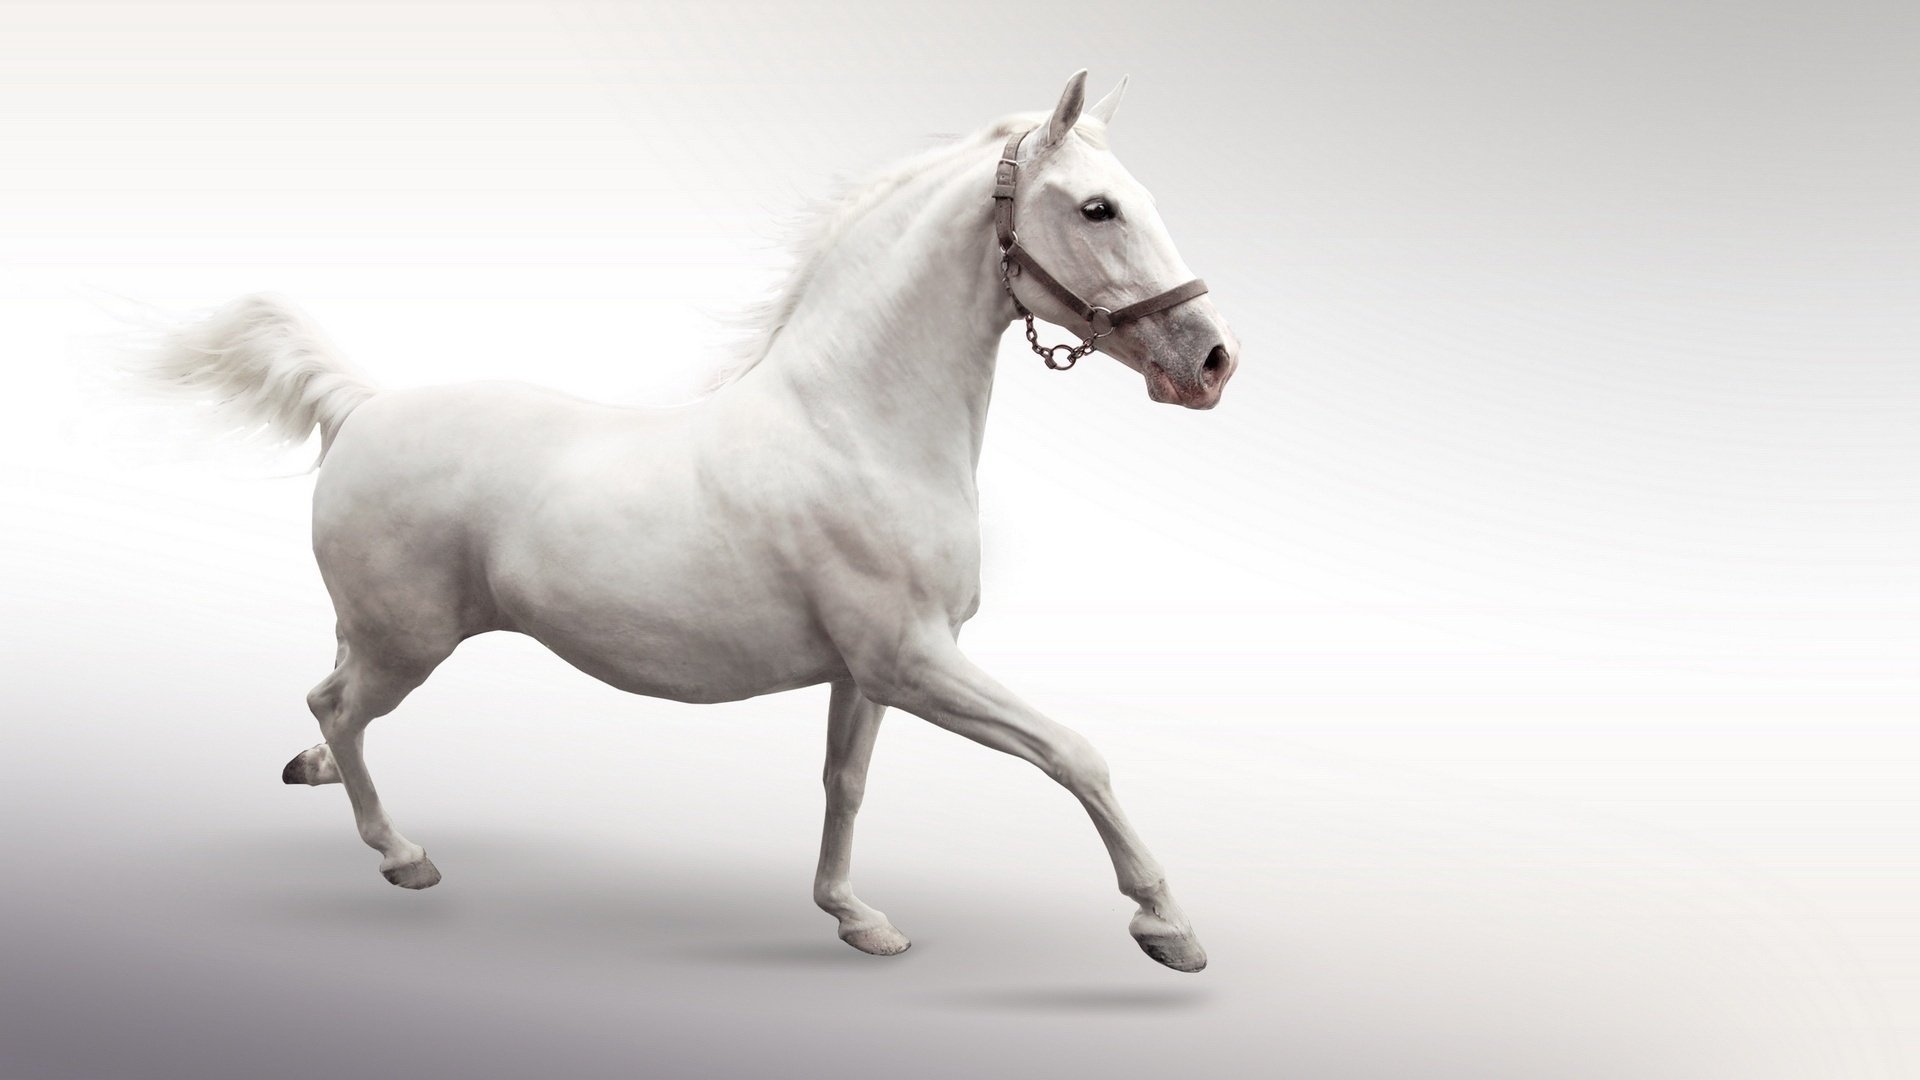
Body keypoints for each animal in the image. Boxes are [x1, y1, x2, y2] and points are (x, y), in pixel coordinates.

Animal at [134, 70, 1240, 972]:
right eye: (1097, 208)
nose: (1211, 363)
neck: (858, 425)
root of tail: (360, 408)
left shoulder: (866, 673)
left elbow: (844, 783)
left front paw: (854, 917)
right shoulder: (914, 662)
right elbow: (1074, 753)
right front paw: (1167, 926)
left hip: (375, 630)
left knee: (334, 701)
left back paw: (316, 777)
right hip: (410, 645)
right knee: (337, 706)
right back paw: (402, 856)